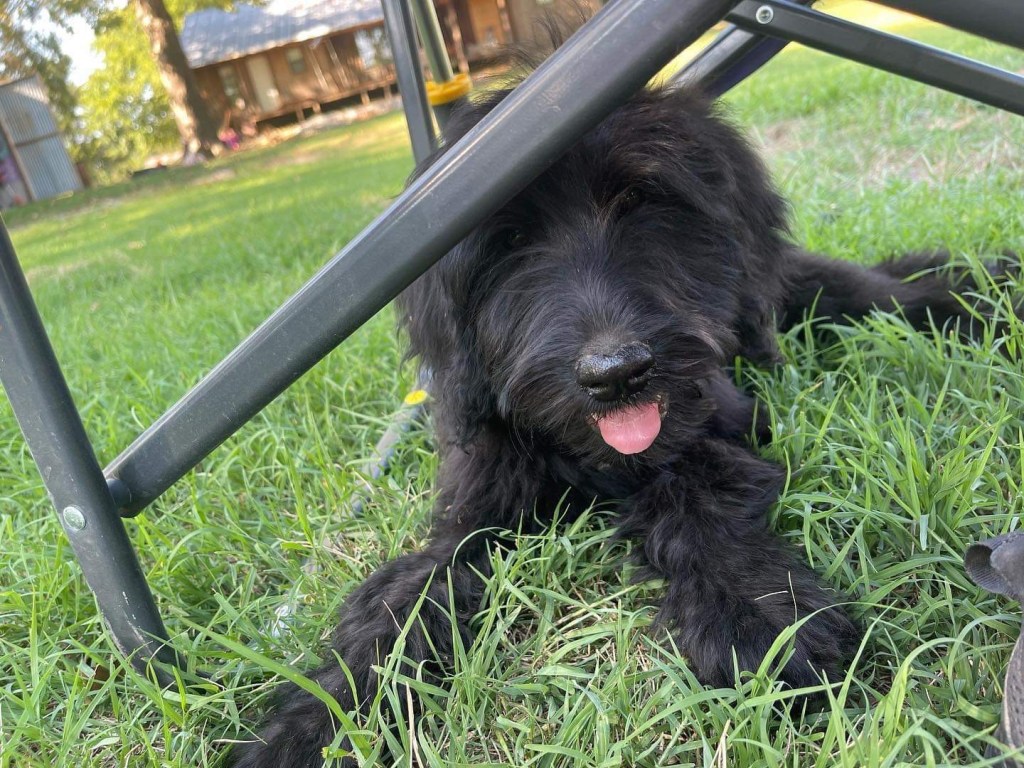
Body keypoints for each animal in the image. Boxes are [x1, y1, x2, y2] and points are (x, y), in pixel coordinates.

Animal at [230, 81, 1002, 767]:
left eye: (642, 203)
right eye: (510, 239)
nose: (616, 373)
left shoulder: (710, 419)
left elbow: (696, 499)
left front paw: (755, 617)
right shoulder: (472, 509)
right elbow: (403, 599)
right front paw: (313, 725)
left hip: (797, 296)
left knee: (875, 289)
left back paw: (978, 291)